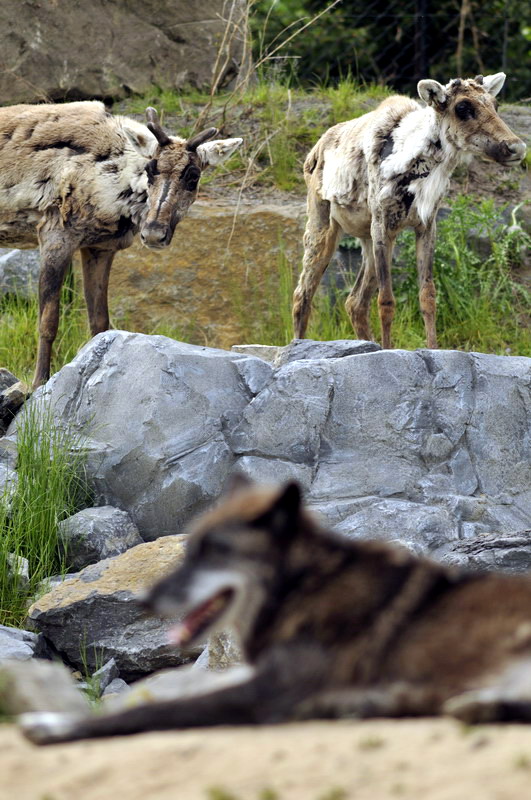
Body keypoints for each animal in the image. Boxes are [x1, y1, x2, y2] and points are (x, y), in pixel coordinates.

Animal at [21, 476, 531, 743]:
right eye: (190, 550)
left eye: (214, 551)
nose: (145, 601)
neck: (300, 588)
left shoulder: (265, 692)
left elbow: (143, 713)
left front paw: (55, 723)